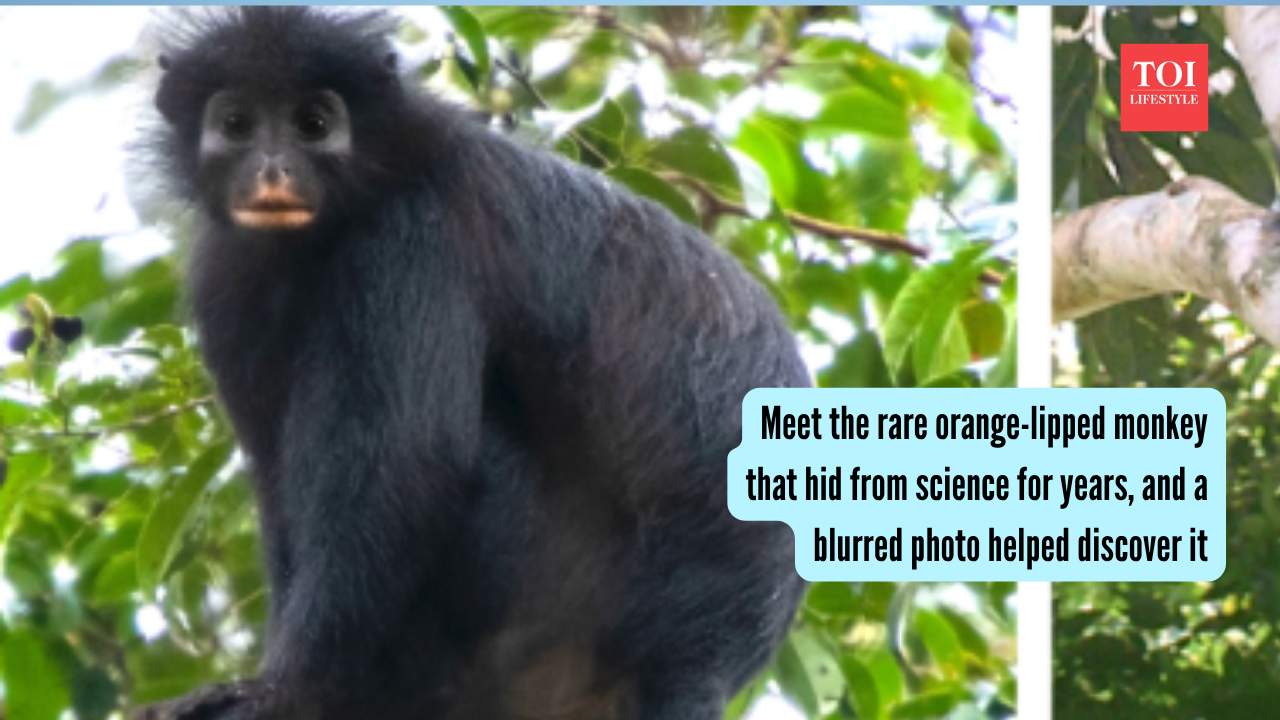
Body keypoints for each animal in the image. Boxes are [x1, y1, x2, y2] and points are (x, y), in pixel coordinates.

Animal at [138, 8, 809, 720]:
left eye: (312, 124)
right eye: (237, 123)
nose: (272, 169)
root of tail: (703, 657)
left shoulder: (410, 237)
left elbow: (407, 466)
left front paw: (284, 688)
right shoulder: (227, 281)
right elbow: (275, 481)